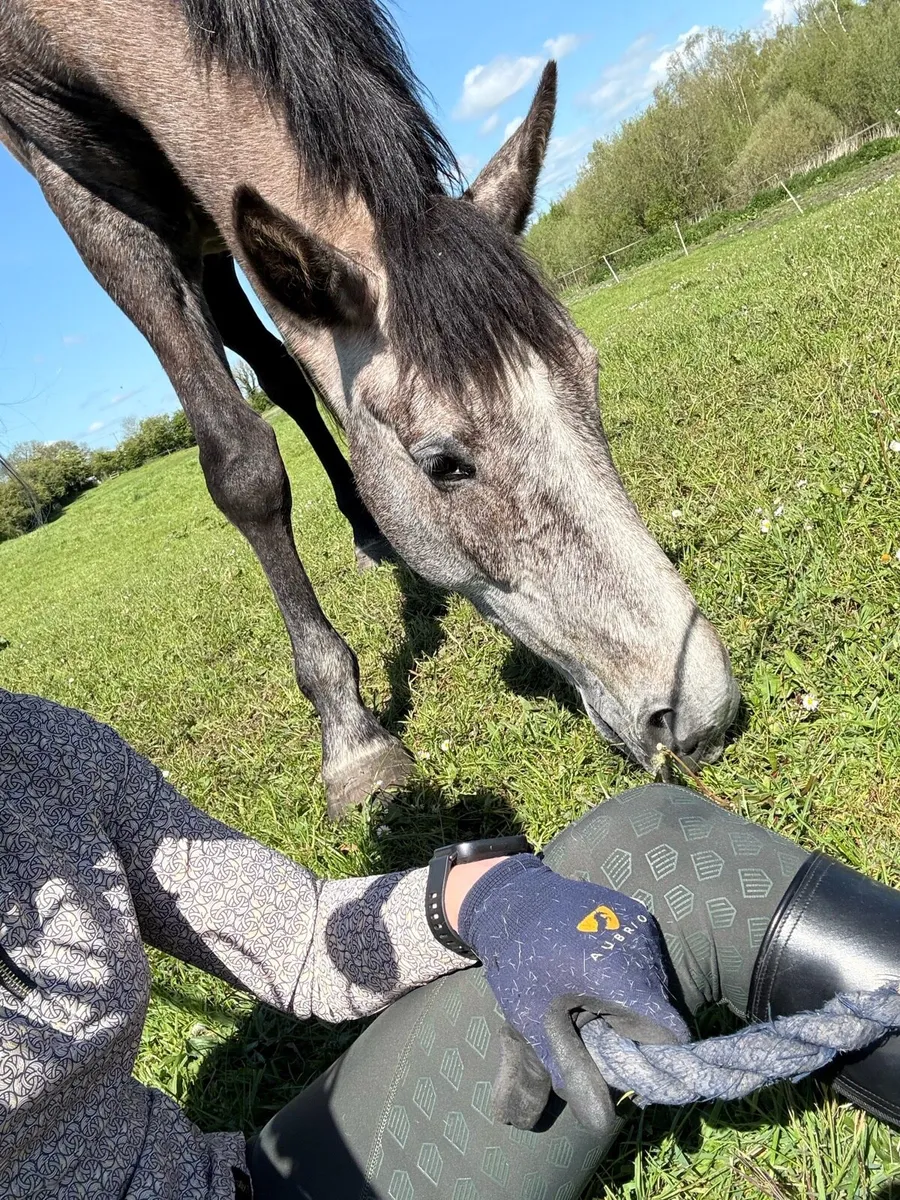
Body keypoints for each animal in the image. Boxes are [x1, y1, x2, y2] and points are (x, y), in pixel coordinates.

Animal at [0, 0, 740, 818]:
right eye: (443, 464)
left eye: (591, 377)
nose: (703, 712)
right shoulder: (92, 208)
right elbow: (241, 464)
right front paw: (351, 736)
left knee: (283, 373)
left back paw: (366, 525)